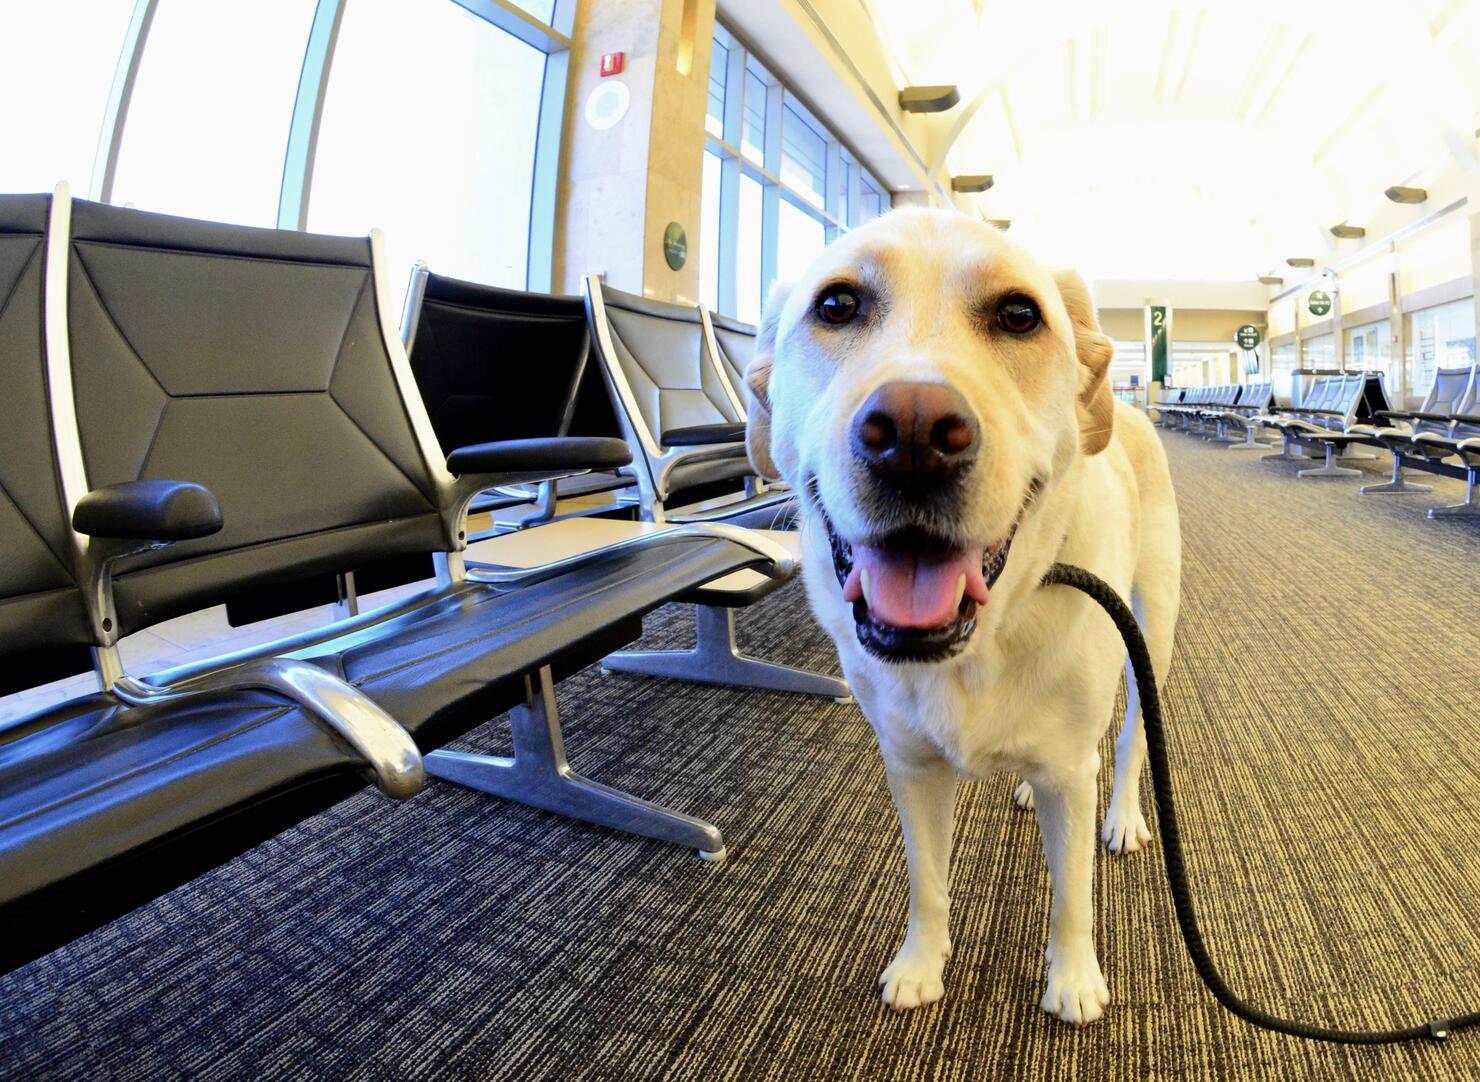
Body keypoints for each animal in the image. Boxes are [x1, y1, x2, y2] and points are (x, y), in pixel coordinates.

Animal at [745, 210, 1184, 1024]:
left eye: (1019, 316)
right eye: (836, 305)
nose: (914, 433)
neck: (973, 649)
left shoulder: (1072, 774)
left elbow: (1072, 896)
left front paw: (1074, 979)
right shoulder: (910, 766)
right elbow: (927, 882)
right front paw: (921, 965)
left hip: (1153, 635)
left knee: (1130, 740)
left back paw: (1122, 817)